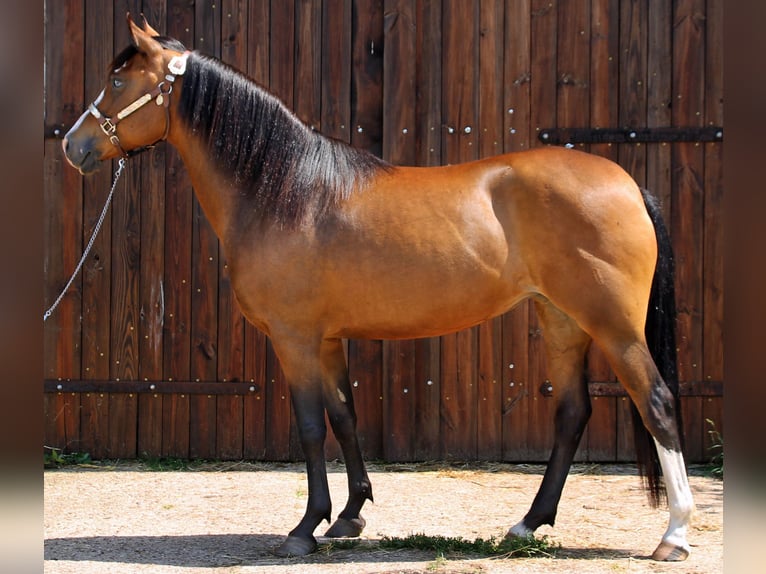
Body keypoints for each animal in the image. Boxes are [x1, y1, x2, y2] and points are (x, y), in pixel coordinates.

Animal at [60, 14, 696, 564]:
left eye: (116, 81)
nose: (72, 145)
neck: (284, 190)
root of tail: (629, 184)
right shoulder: (327, 340)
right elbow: (345, 417)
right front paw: (349, 517)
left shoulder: (294, 338)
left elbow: (311, 427)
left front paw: (304, 529)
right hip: (561, 320)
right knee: (571, 412)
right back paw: (527, 524)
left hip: (613, 326)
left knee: (658, 404)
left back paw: (674, 536)